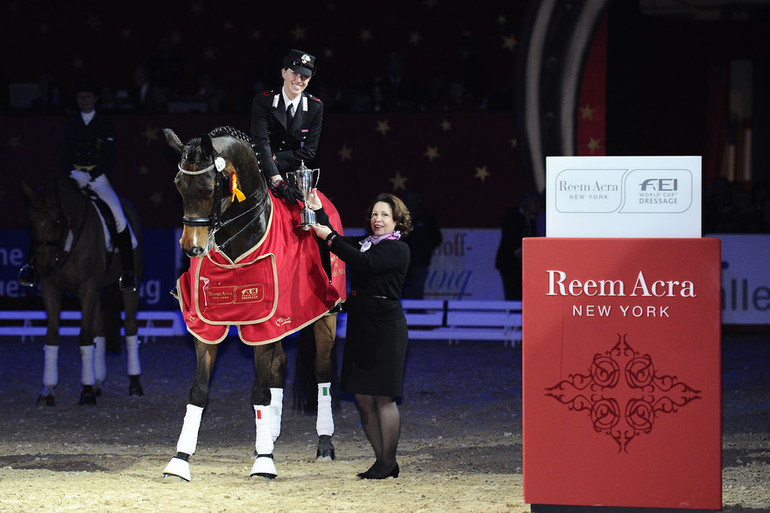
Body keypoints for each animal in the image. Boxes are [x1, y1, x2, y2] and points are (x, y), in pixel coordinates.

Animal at [22, 178, 144, 406]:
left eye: (57, 221)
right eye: (31, 222)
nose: (44, 267)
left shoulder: (86, 288)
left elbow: (84, 337)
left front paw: (86, 391)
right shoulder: (51, 289)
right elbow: (52, 336)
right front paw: (48, 390)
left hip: (129, 286)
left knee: (131, 327)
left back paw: (134, 384)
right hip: (96, 290)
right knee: (100, 328)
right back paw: (97, 381)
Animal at [163, 127, 344, 480]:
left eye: (208, 189)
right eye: (178, 186)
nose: (192, 249)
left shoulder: (264, 323)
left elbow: (259, 391)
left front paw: (264, 463)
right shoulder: (209, 326)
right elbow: (199, 391)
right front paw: (179, 461)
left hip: (325, 316)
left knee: (322, 372)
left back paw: (324, 444)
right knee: (280, 365)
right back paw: (270, 434)